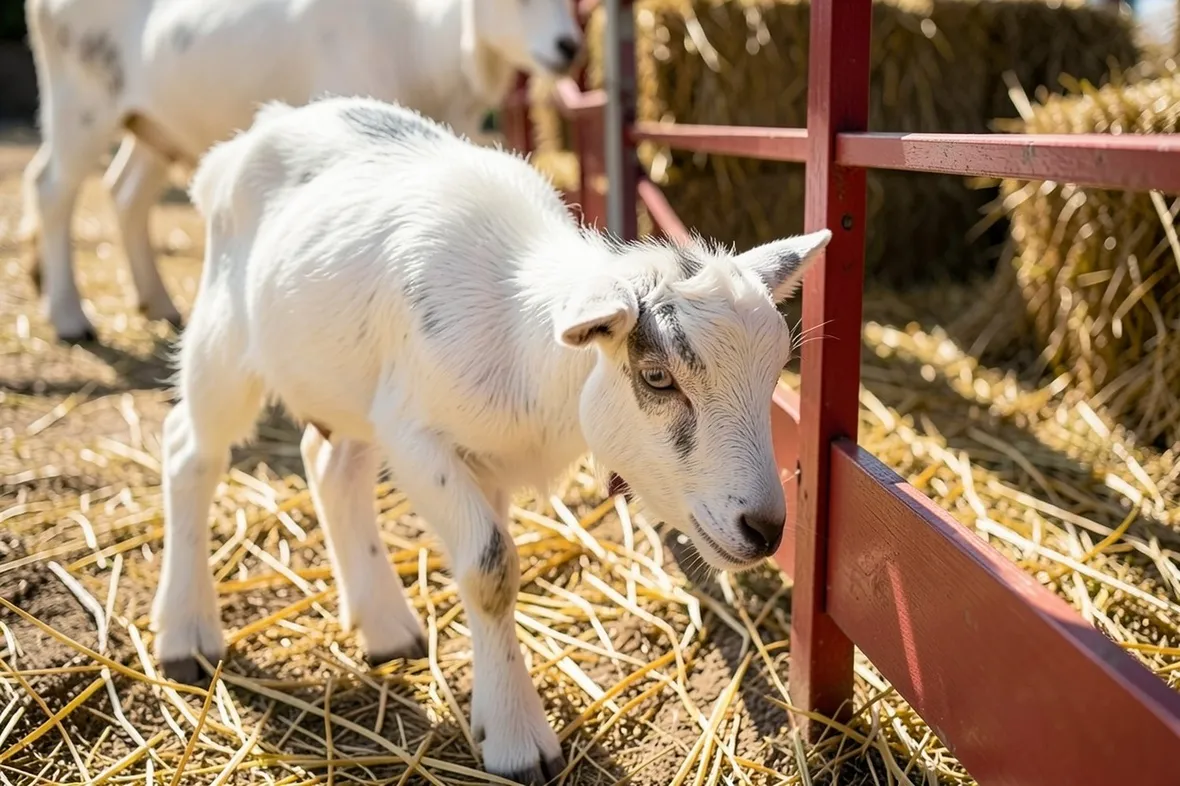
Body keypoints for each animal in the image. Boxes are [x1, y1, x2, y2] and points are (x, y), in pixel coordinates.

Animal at [20, 0, 582, 343]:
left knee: (126, 191)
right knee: (52, 188)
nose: (569, 47)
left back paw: (157, 302)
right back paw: (69, 317)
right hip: (81, 102)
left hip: (155, 121)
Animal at [153, 95, 831, 784]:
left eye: (775, 374)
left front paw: (492, 705)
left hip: (352, 381)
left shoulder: (481, 454)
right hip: (226, 339)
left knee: (330, 463)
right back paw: (186, 636)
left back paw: (385, 626)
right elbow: (490, 567)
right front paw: (518, 739)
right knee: (189, 450)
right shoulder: (417, 437)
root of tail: (263, 128)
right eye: (657, 377)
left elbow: (492, 568)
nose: (765, 529)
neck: (527, 342)